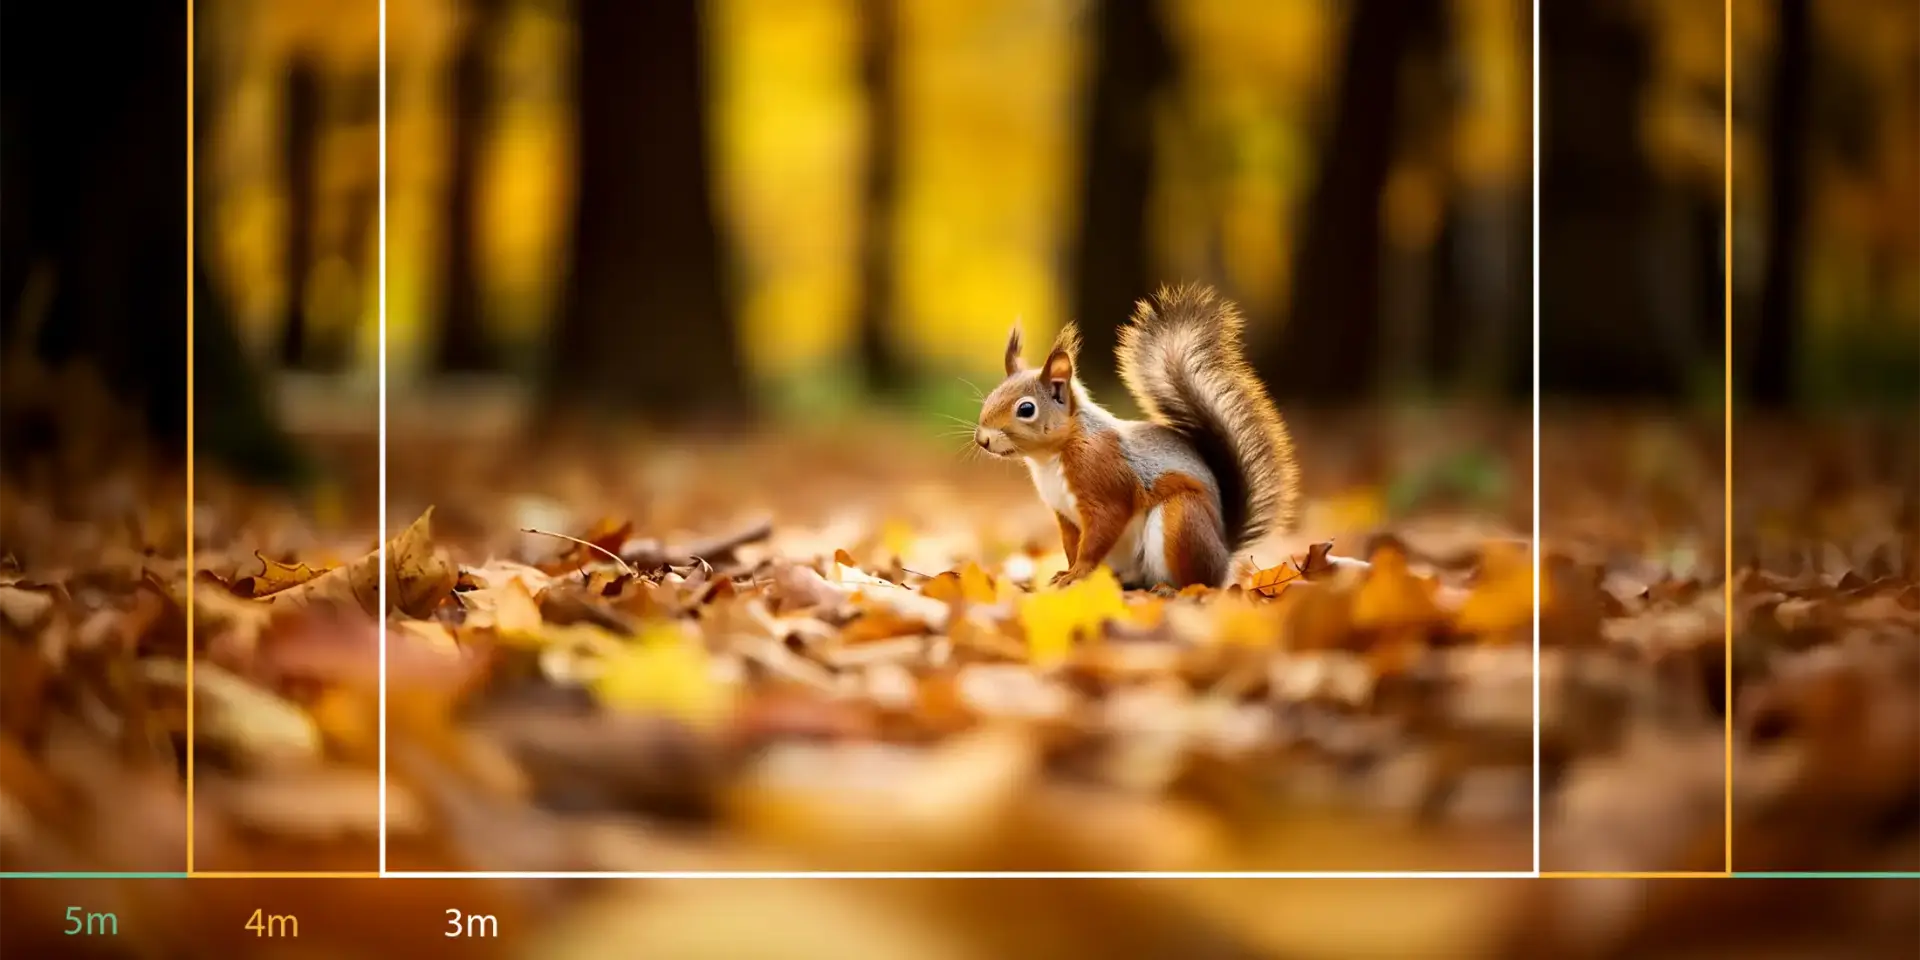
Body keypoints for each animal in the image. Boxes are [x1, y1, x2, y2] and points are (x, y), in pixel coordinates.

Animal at [973, 282, 1301, 590]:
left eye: (1026, 409)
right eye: (991, 396)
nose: (982, 439)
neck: (1052, 456)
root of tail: (1224, 554)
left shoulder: (1104, 480)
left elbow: (1099, 533)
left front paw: (1077, 573)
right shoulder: (1063, 514)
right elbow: (1071, 545)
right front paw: (1066, 573)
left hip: (1181, 519)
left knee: (1195, 581)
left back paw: (1167, 589)